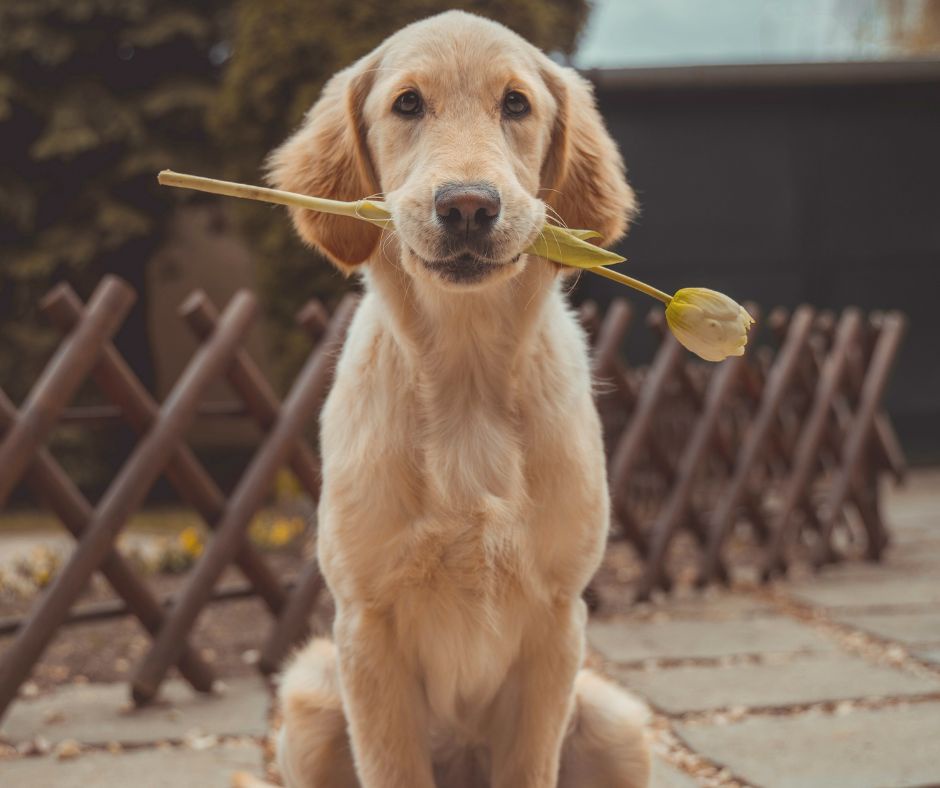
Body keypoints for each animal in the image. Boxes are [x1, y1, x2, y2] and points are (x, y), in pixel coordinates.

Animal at [262, 10, 648, 788]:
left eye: (516, 104)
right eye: (408, 104)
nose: (468, 206)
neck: (467, 380)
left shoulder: (559, 619)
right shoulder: (365, 623)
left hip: (619, 724)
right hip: (310, 703)